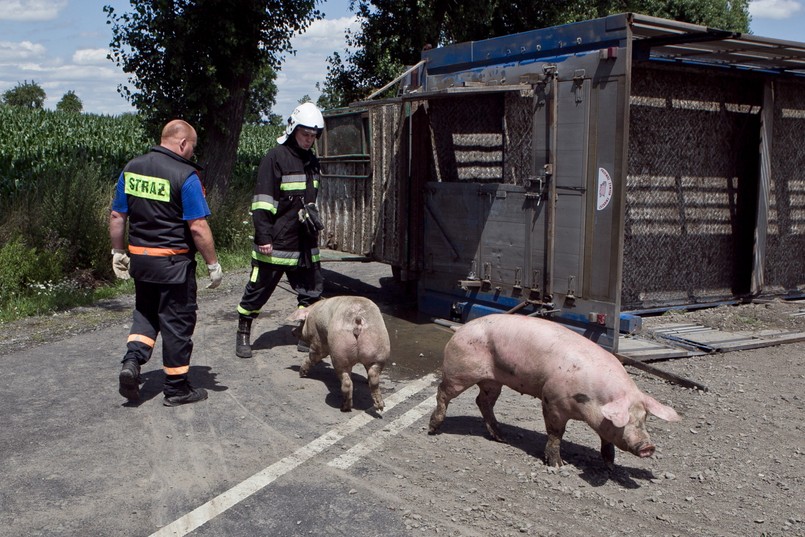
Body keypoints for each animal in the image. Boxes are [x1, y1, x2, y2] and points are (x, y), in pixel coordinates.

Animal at [428, 314, 680, 464]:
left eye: (644, 417)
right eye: (624, 418)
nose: (648, 446)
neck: (592, 399)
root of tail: (460, 328)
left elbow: (606, 439)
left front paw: (609, 463)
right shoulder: (552, 399)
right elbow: (555, 433)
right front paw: (557, 464)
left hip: (492, 381)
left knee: (483, 401)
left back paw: (501, 437)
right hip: (459, 370)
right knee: (443, 393)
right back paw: (433, 429)